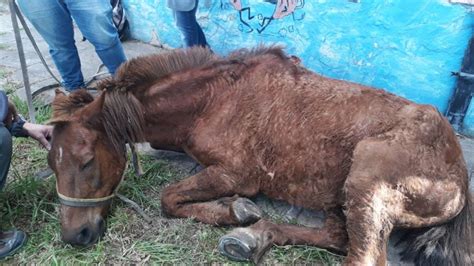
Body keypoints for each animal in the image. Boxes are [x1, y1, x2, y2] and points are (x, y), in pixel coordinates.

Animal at [46, 46, 472, 266]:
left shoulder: (235, 175)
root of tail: (460, 181)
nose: (75, 236)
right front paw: (239, 215)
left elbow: (168, 199)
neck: (211, 100)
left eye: (86, 160)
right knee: (336, 237)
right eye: (52, 163)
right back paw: (252, 237)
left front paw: (232, 210)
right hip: (344, 195)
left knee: (361, 256)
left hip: (366, 177)